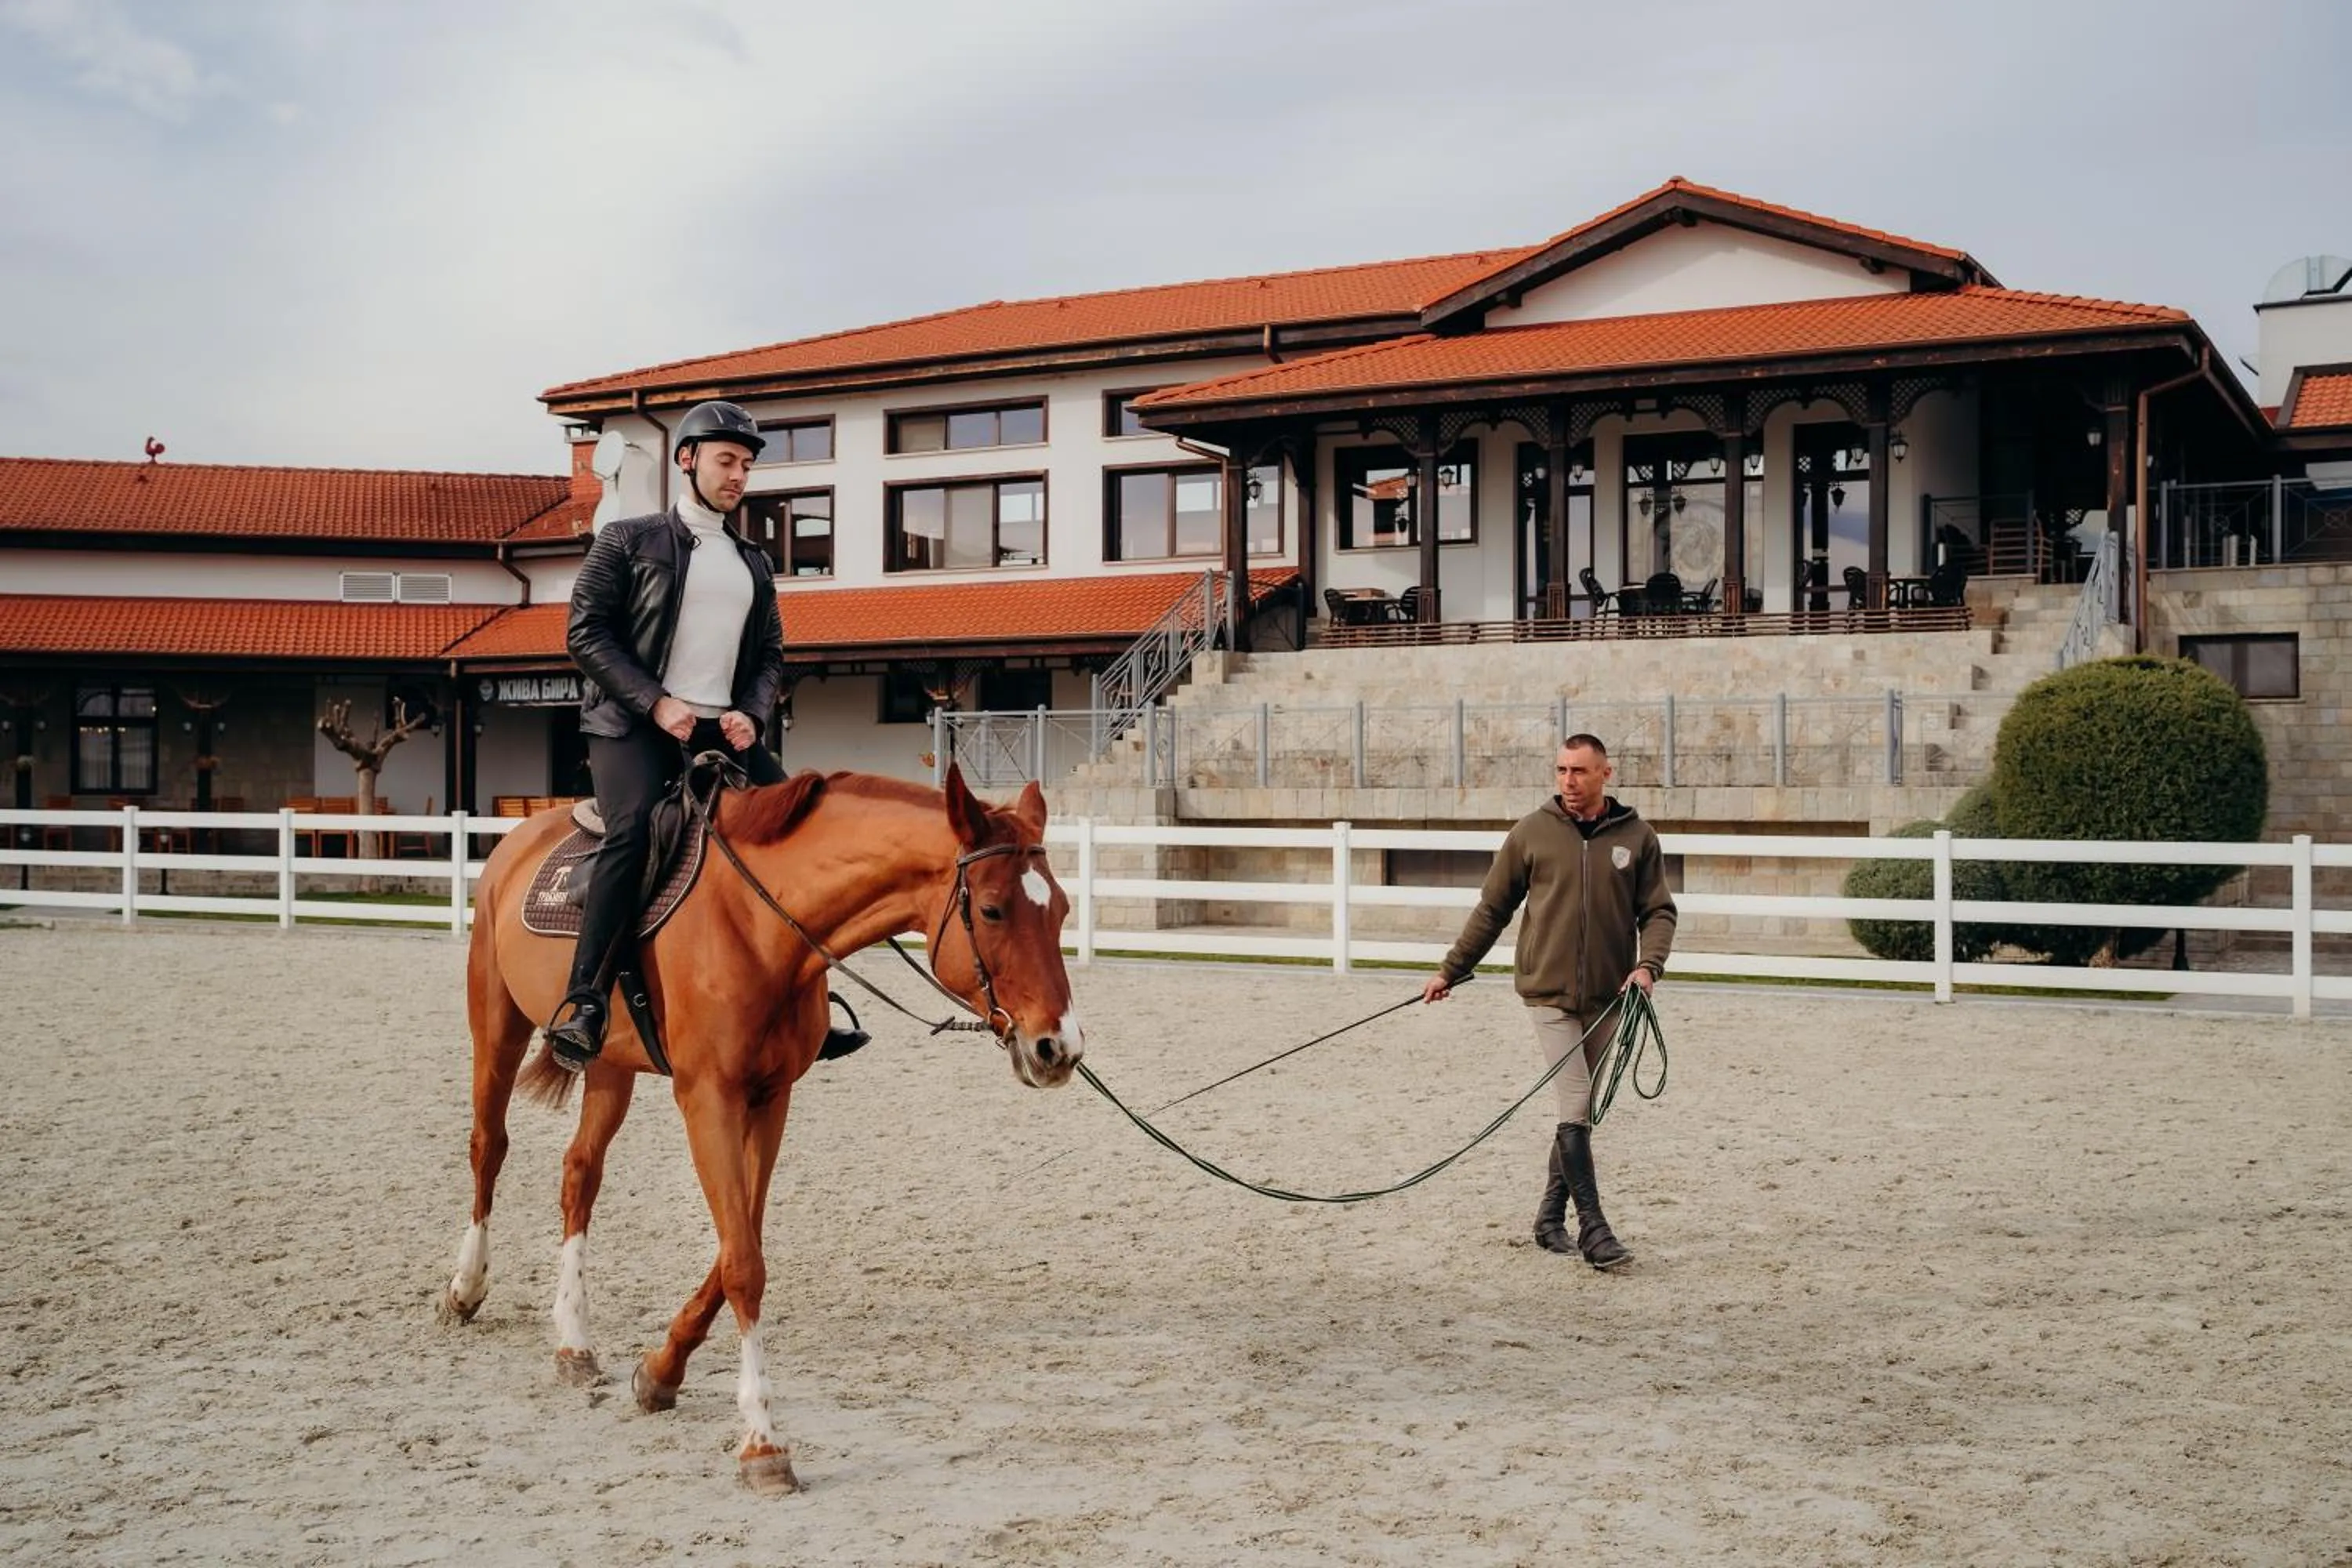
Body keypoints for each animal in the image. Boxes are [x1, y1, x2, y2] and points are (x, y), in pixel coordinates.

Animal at [438, 764, 1083, 1494]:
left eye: (1061, 911)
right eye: (994, 909)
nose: (1059, 1048)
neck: (757, 924)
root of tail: (521, 835)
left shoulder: (771, 1099)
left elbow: (739, 1240)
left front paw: (660, 1372)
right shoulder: (708, 1098)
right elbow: (744, 1262)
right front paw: (762, 1443)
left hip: (609, 1066)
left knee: (580, 1173)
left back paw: (574, 1340)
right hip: (497, 1025)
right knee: (489, 1148)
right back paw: (465, 1289)